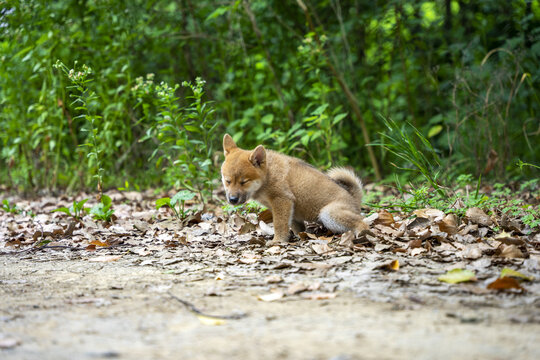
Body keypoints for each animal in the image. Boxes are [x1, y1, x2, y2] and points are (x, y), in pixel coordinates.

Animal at [219, 134, 368, 245]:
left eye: (244, 182)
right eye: (228, 181)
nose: (232, 199)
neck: (268, 175)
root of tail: (353, 197)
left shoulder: (282, 200)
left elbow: (279, 224)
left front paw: (278, 241)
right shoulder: (291, 209)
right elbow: (294, 226)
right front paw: (297, 236)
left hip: (328, 213)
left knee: (362, 222)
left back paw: (362, 234)